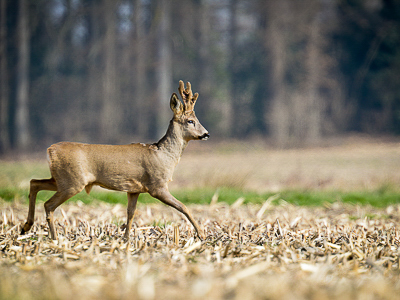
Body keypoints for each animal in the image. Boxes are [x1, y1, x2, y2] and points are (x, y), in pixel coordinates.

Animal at [20, 81, 209, 240]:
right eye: (190, 121)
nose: (206, 134)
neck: (164, 155)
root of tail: (50, 150)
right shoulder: (157, 185)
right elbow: (183, 207)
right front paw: (201, 234)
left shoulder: (134, 189)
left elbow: (131, 213)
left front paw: (125, 239)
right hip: (72, 181)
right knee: (48, 204)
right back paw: (54, 238)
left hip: (61, 179)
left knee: (34, 182)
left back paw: (25, 227)